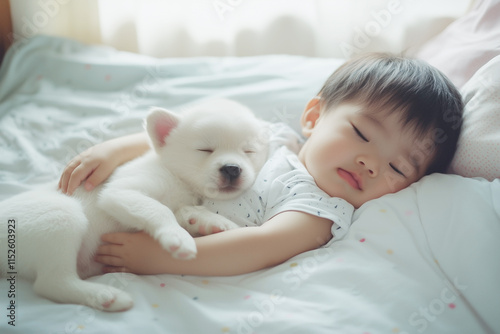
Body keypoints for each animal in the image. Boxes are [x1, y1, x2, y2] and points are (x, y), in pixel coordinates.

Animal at [0, 98, 270, 312]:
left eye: (248, 151)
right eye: (205, 149)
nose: (232, 168)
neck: (178, 179)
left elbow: (183, 210)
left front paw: (210, 220)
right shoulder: (120, 192)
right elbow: (159, 209)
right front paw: (177, 236)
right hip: (60, 215)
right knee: (52, 282)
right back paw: (104, 295)